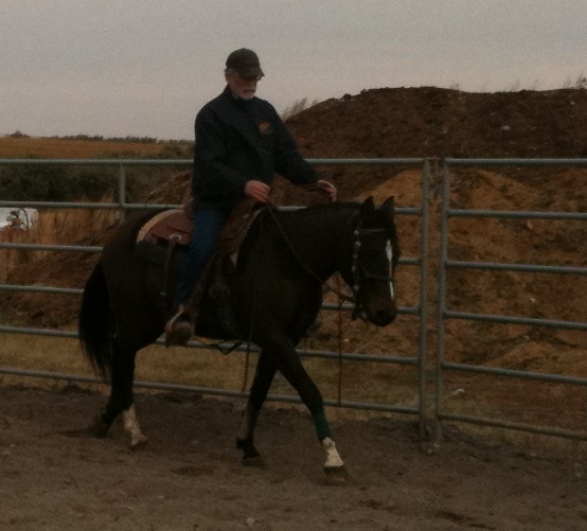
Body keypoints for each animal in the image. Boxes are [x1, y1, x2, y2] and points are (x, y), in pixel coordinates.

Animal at [79, 197, 400, 480]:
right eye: (369, 253)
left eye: (395, 254)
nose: (385, 313)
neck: (287, 259)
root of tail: (118, 235)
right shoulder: (274, 337)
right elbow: (309, 390)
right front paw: (333, 459)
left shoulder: (279, 341)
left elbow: (259, 391)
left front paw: (247, 446)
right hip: (136, 319)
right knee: (123, 360)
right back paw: (133, 432)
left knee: (122, 362)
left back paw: (107, 421)